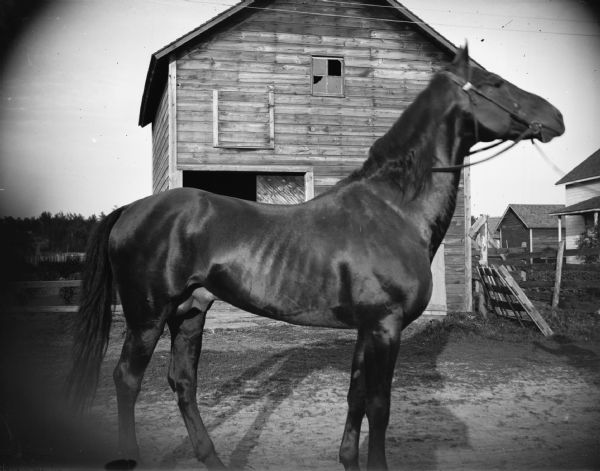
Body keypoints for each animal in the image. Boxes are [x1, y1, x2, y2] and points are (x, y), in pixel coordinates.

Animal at [68, 48, 564, 471]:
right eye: (495, 82)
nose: (555, 117)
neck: (394, 209)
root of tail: (130, 210)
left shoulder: (368, 328)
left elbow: (356, 396)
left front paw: (348, 460)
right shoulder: (385, 326)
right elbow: (380, 407)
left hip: (189, 313)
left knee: (182, 383)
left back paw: (213, 458)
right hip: (147, 317)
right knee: (127, 379)